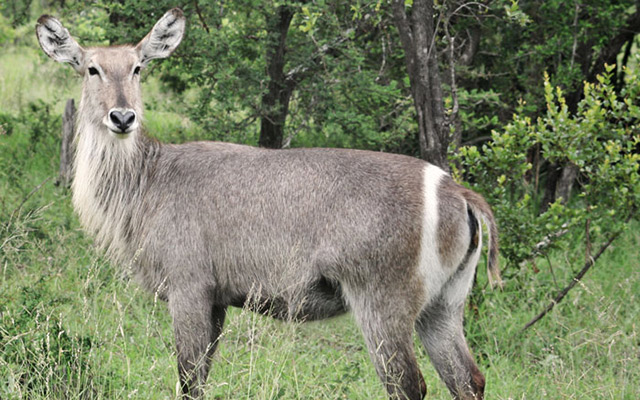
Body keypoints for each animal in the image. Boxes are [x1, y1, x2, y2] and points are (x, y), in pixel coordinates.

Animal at [37, 9, 502, 400]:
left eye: (137, 67)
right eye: (92, 68)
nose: (122, 117)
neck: (148, 180)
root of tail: (458, 192)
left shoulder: (188, 288)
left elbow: (188, 381)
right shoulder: (217, 300)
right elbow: (200, 378)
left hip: (381, 303)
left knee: (409, 385)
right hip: (444, 306)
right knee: (469, 379)